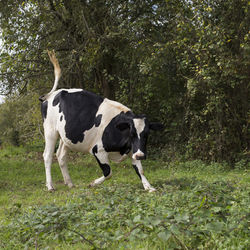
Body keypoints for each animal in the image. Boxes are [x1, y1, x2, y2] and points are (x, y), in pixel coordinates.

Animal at [39, 50, 163, 191]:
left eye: (147, 134)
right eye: (131, 133)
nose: (141, 155)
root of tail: (53, 94)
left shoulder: (134, 149)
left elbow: (140, 170)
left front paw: (149, 187)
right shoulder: (98, 150)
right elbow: (108, 172)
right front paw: (92, 183)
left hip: (66, 136)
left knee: (61, 156)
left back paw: (69, 183)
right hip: (50, 131)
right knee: (47, 156)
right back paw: (50, 186)